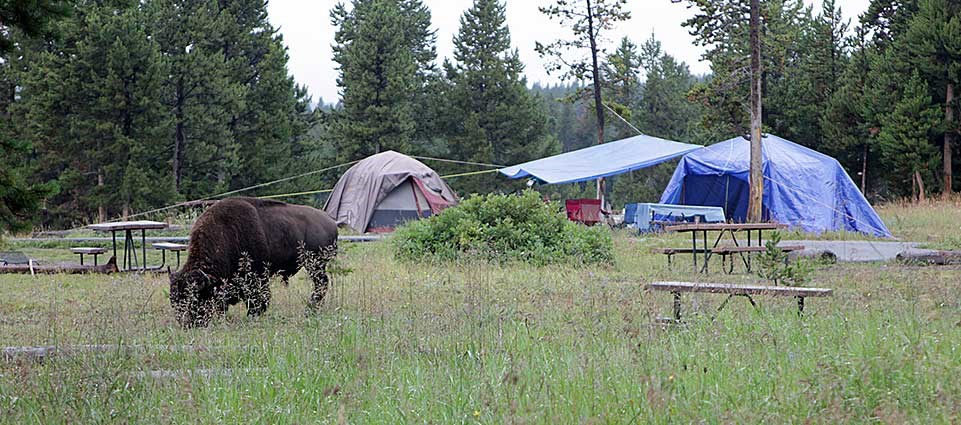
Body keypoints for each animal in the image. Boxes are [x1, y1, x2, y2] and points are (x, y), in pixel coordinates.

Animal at [169, 197, 338, 326]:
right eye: (174, 299)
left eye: (195, 298)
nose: (186, 323)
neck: (225, 234)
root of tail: (330, 221)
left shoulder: (257, 277)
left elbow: (259, 298)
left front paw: (253, 314)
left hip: (315, 264)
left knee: (321, 283)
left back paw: (310, 309)